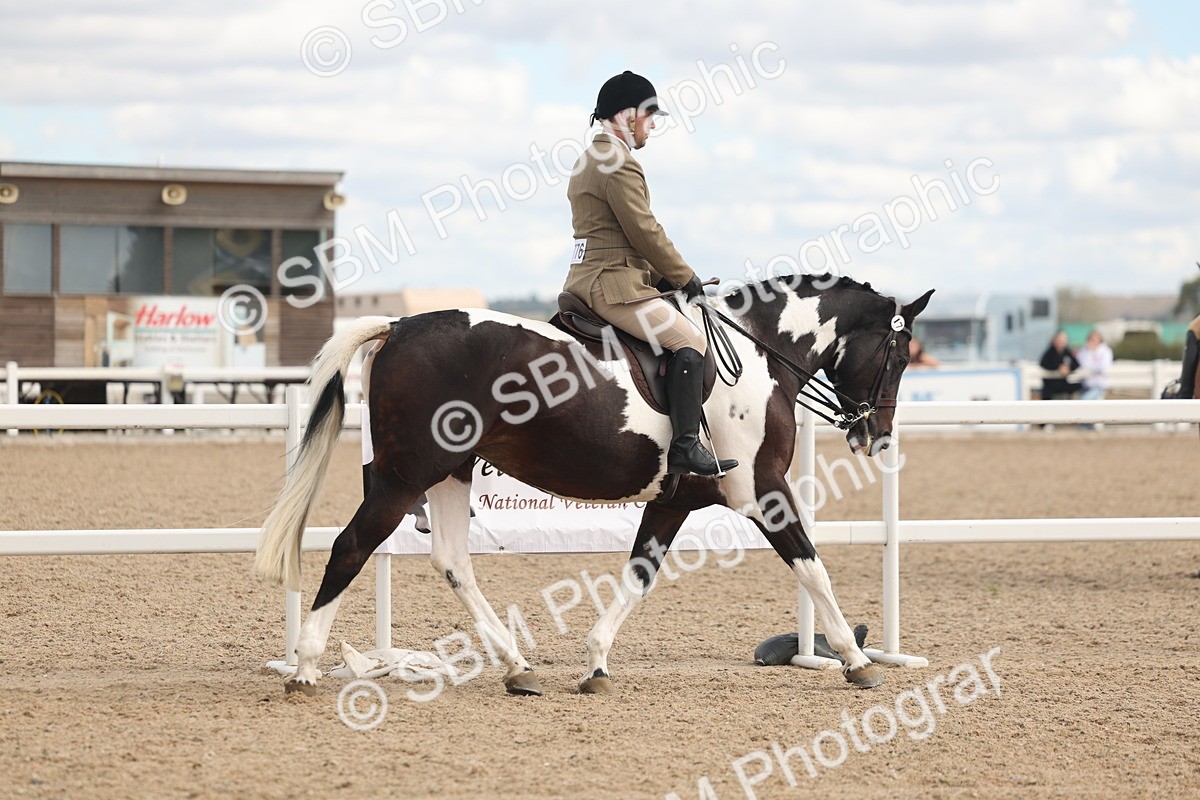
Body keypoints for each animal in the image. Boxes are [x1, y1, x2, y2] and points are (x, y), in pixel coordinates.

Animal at [254, 274, 934, 696]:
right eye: (900, 356)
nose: (876, 436)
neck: (758, 357)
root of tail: (397, 326)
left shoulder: (673, 501)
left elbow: (638, 574)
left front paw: (597, 662)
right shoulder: (762, 492)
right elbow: (813, 568)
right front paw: (855, 660)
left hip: (450, 471)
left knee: (452, 561)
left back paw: (518, 667)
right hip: (405, 477)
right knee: (351, 547)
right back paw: (305, 669)